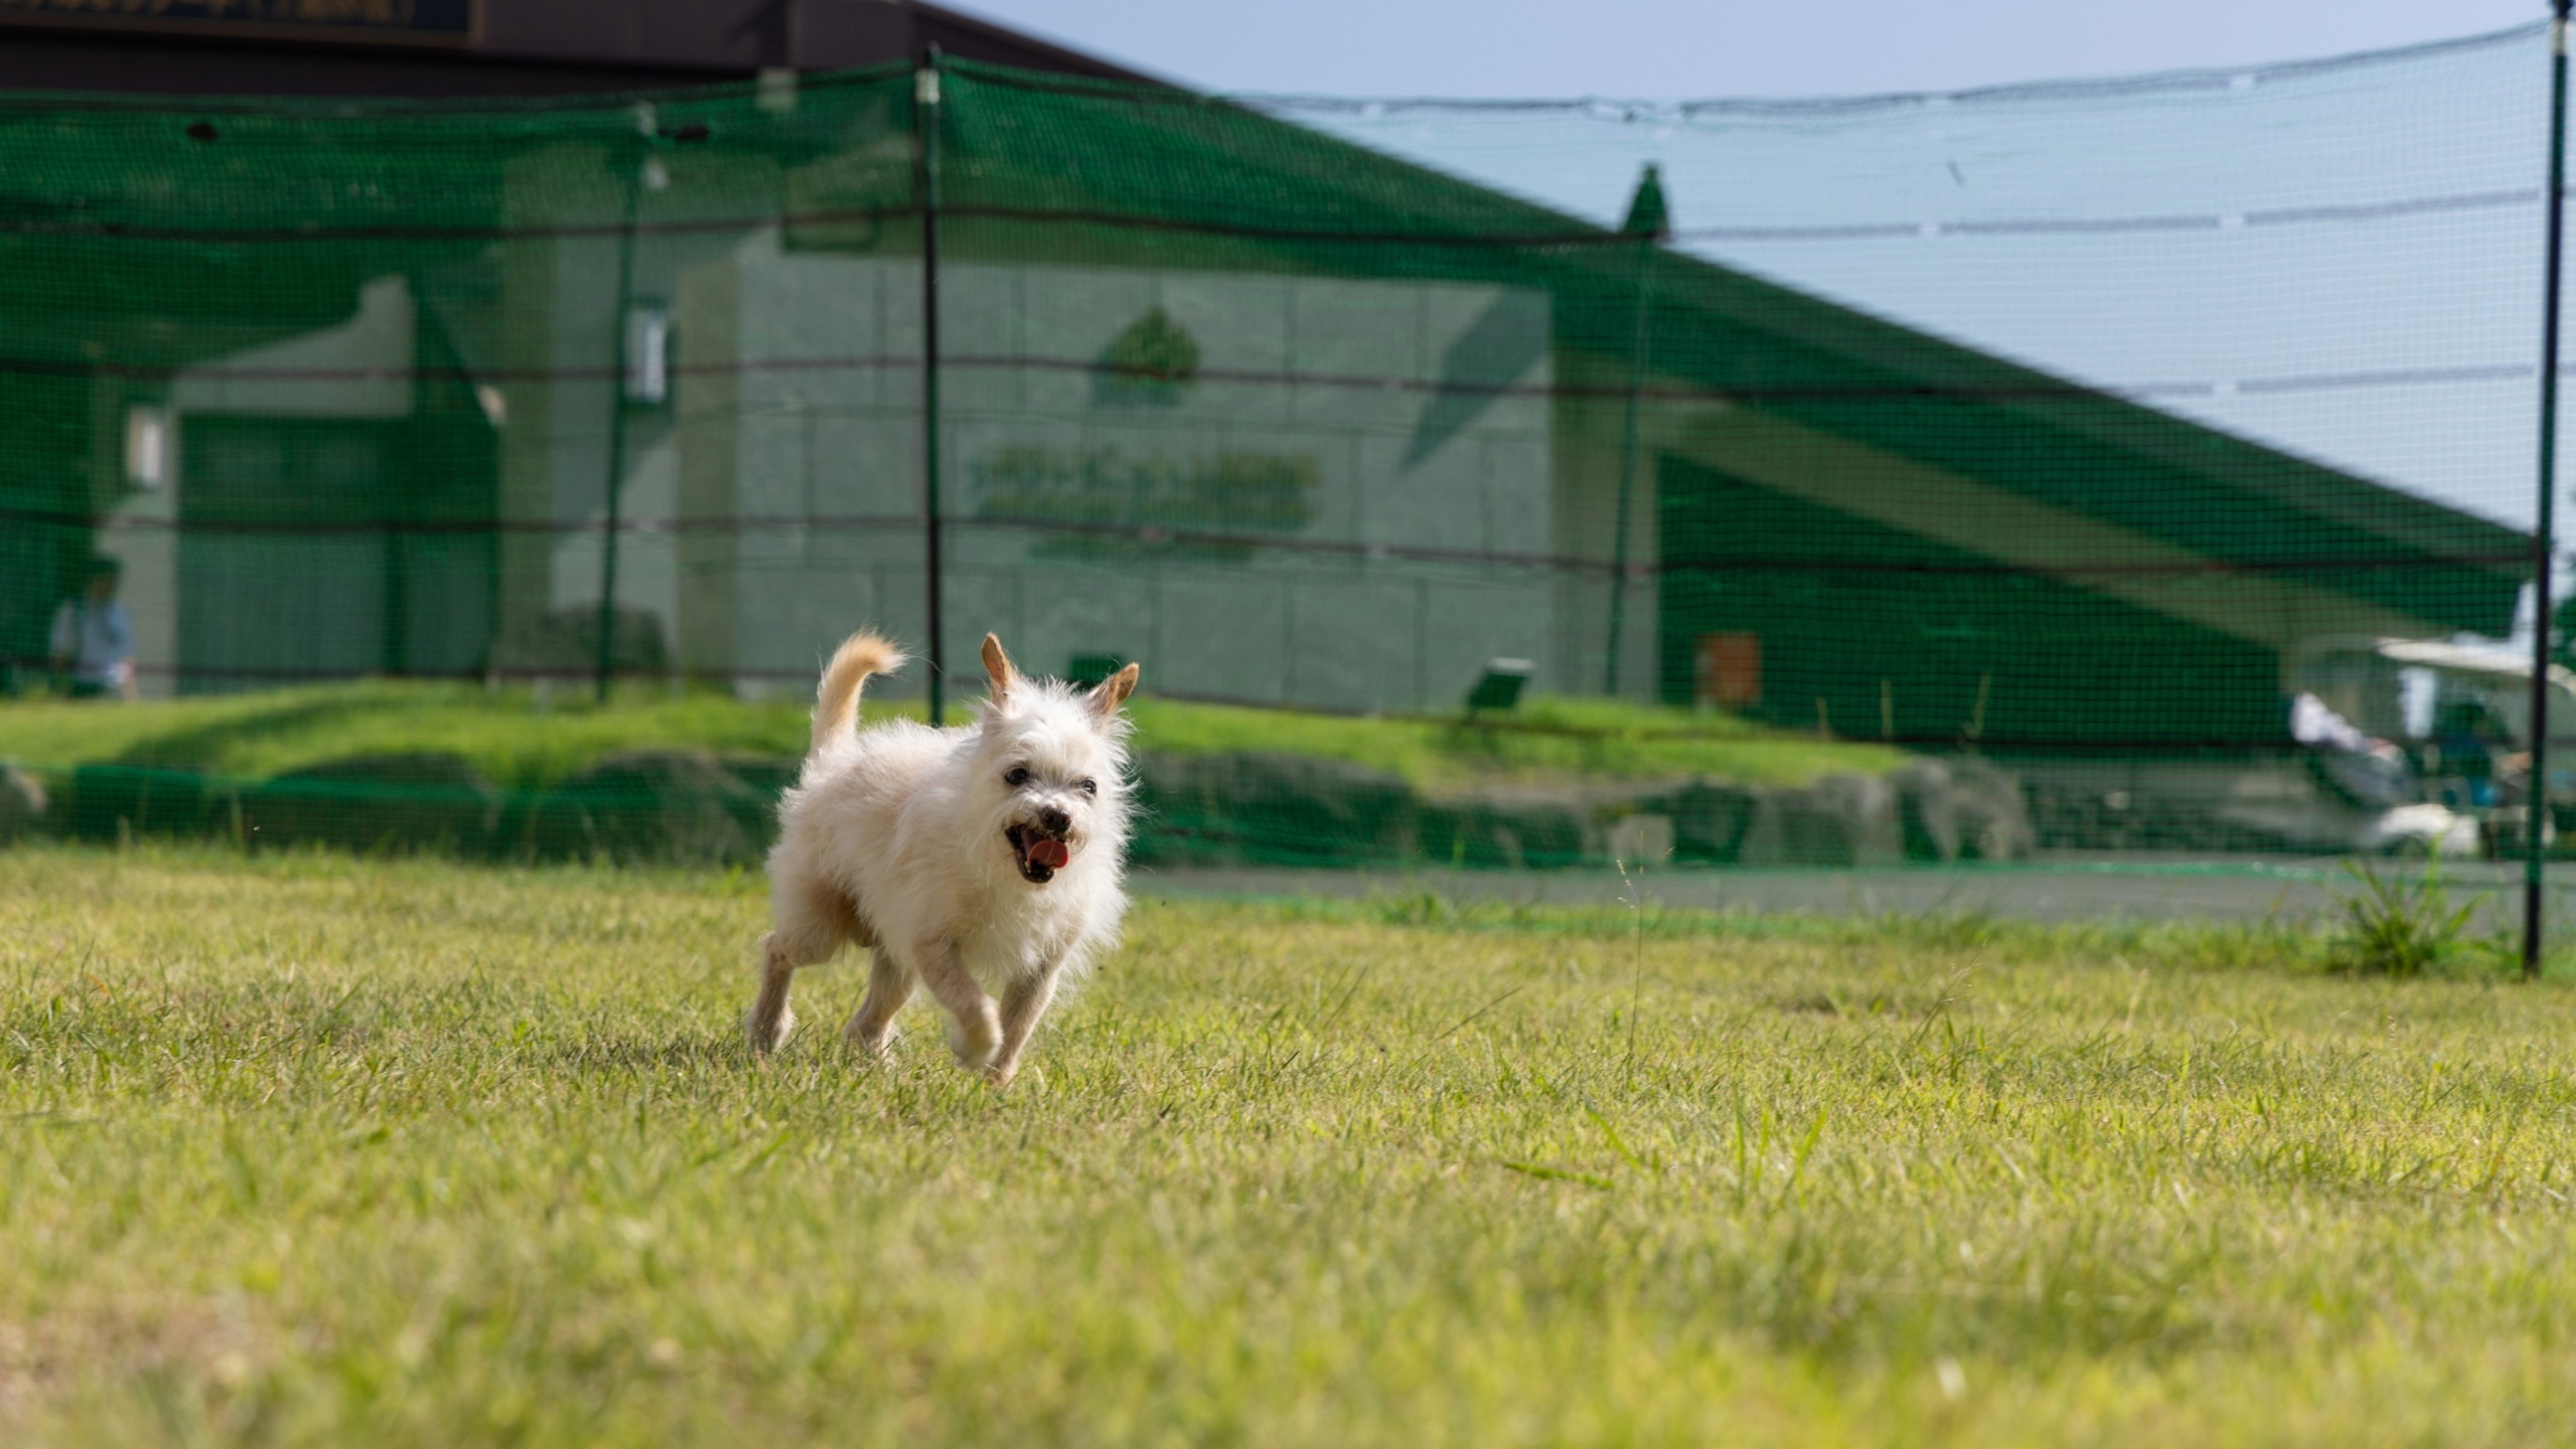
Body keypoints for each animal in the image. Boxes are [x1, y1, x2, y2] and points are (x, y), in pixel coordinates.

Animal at [752, 626, 1143, 1077]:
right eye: (1017, 775)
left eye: (1088, 787)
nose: (1058, 816)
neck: (1004, 873)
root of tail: (833, 762)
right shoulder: (933, 947)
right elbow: (975, 1004)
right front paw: (976, 1048)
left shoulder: (1039, 970)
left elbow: (1017, 1027)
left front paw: (995, 1082)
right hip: (821, 930)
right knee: (776, 948)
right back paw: (765, 1033)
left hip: (896, 955)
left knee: (866, 1020)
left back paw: (877, 1066)